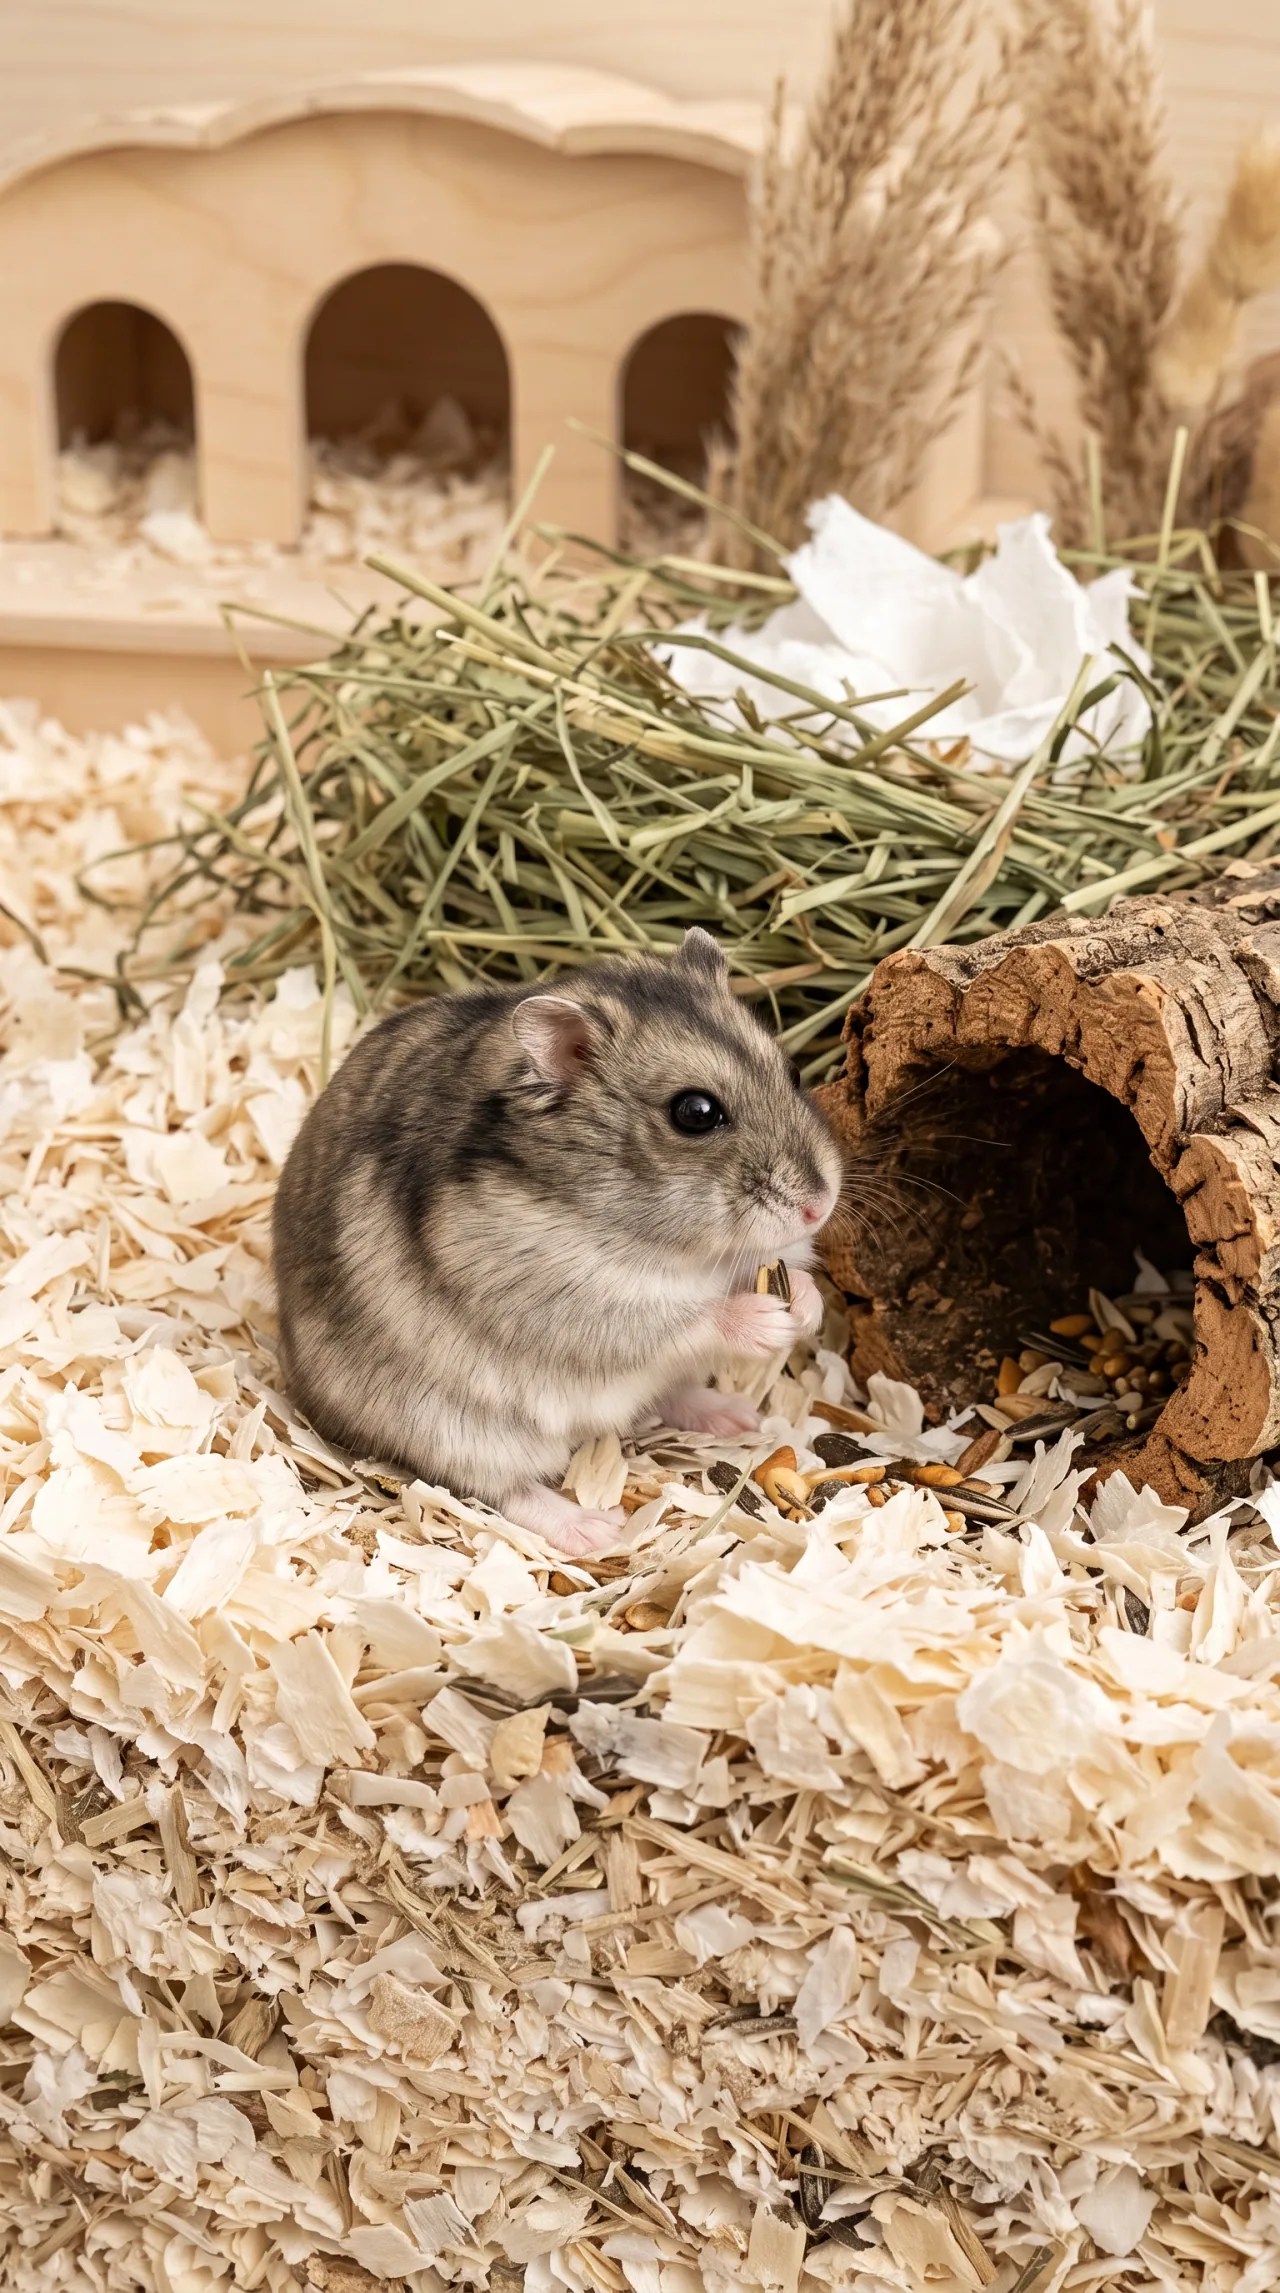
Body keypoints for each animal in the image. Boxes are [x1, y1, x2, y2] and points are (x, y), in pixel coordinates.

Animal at [273, 928, 843, 1554]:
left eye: (793, 1072)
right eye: (695, 1113)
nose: (819, 1207)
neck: (678, 1248)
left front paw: (806, 1305)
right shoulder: (572, 1302)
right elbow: (685, 1317)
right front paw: (766, 1321)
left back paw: (737, 1416)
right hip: (456, 1432)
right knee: (505, 1489)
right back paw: (596, 1530)